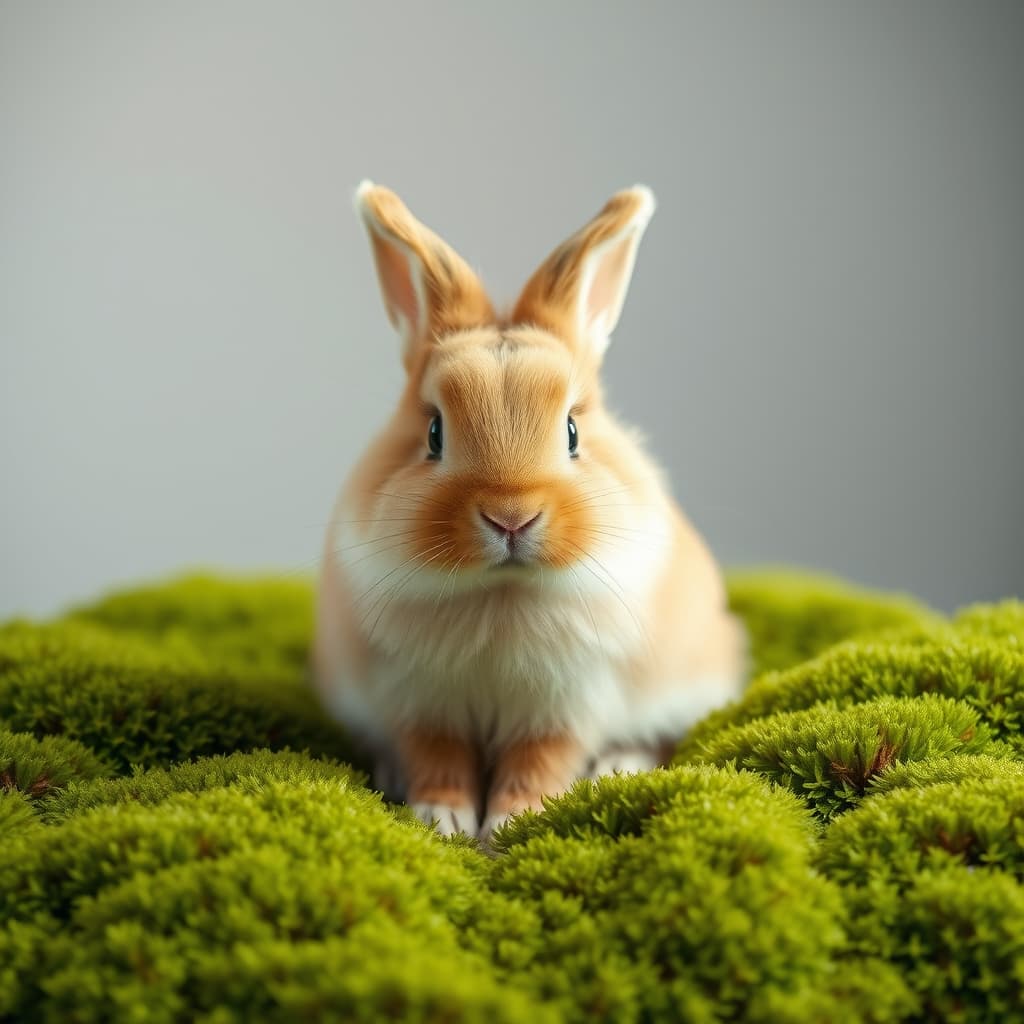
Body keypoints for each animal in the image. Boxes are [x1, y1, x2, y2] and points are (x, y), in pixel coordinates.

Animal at [313, 181, 747, 841]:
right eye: (434, 433)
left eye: (571, 431)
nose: (510, 517)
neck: (501, 591)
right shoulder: (421, 703)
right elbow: (437, 758)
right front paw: (441, 818)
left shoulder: (565, 707)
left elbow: (539, 763)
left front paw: (511, 824)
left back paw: (618, 767)